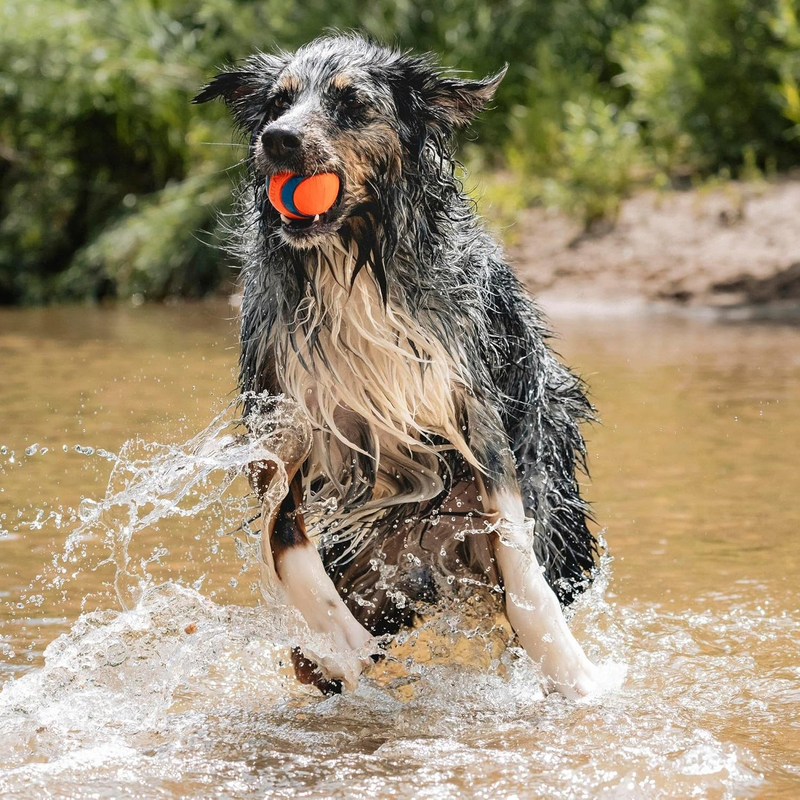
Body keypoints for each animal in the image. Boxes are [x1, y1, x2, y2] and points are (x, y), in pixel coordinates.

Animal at [195, 34, 600, 700]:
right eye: (277, 102)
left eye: (351, 104)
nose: (277, 139)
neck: (353, 263)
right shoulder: (281, 426)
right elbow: (287, 543)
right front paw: (342, 646)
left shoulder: (473, 411)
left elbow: (516, 547)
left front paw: (572, 670)